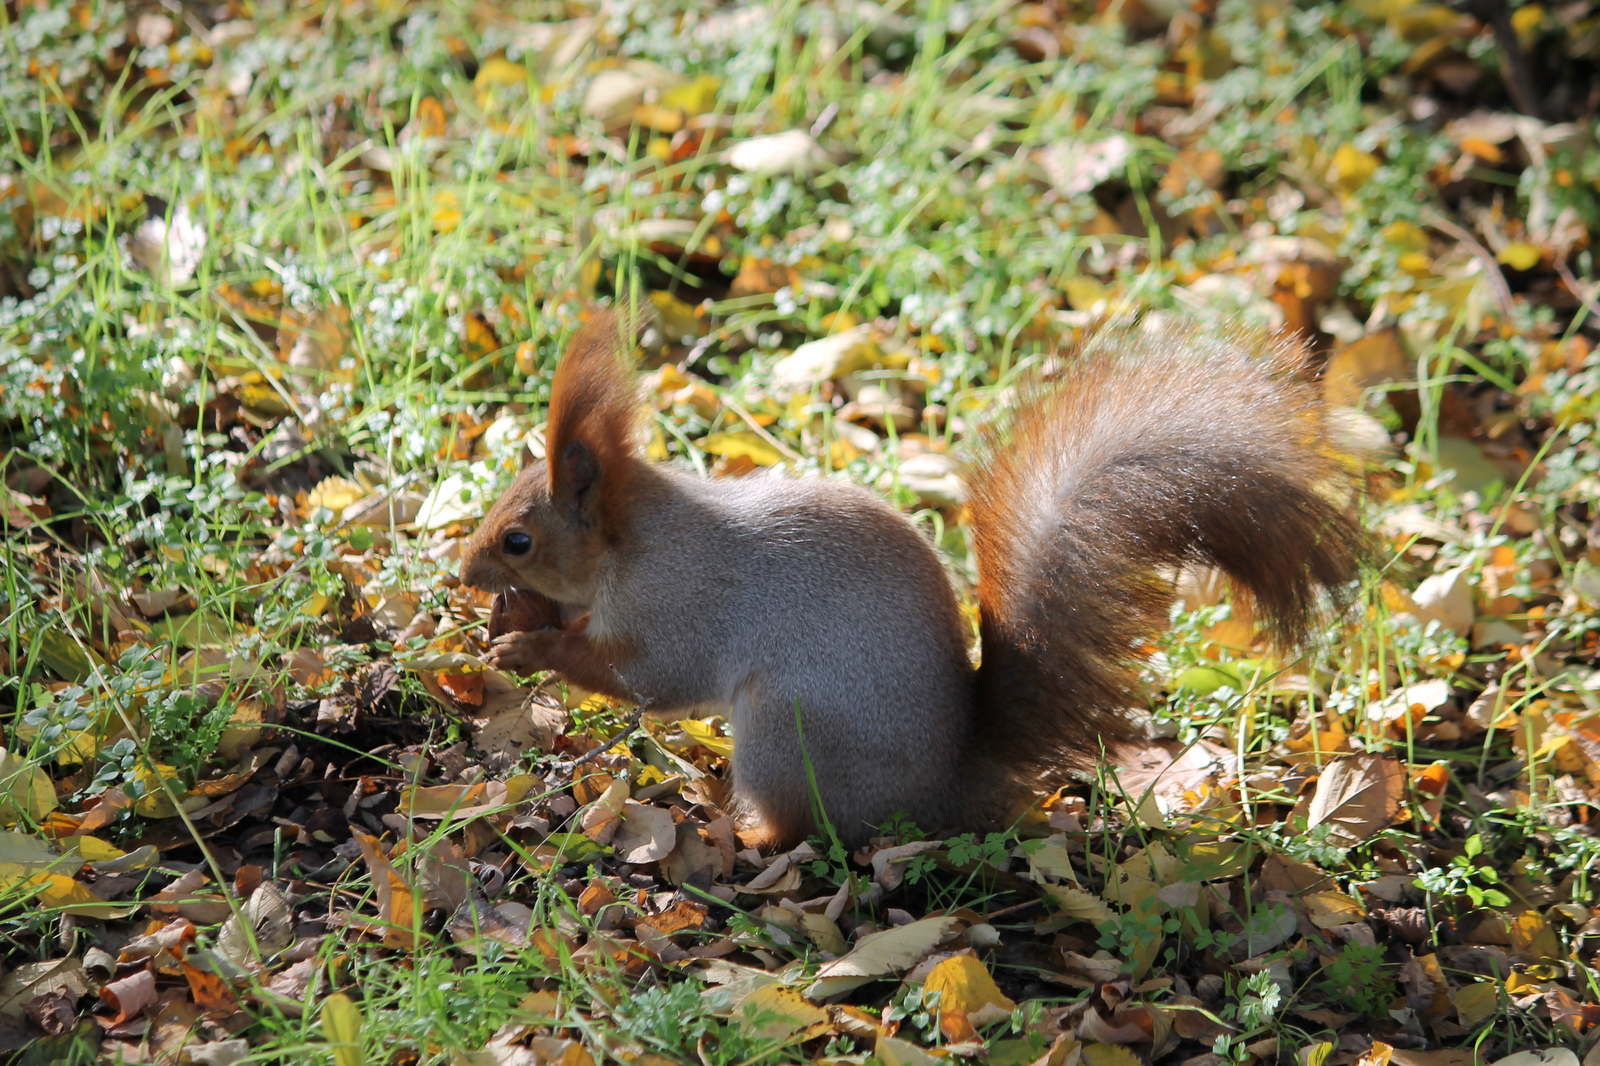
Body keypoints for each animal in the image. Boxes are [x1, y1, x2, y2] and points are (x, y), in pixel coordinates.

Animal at [457, 307, 1369, 845]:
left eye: (517, 540)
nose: (464, 571)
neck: (637, 541)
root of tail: (943, 789)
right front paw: (516, 625)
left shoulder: (681, 608)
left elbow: (646, 677)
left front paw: (531, 649)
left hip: (788, 732)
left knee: (807, 831)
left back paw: (741, 835)